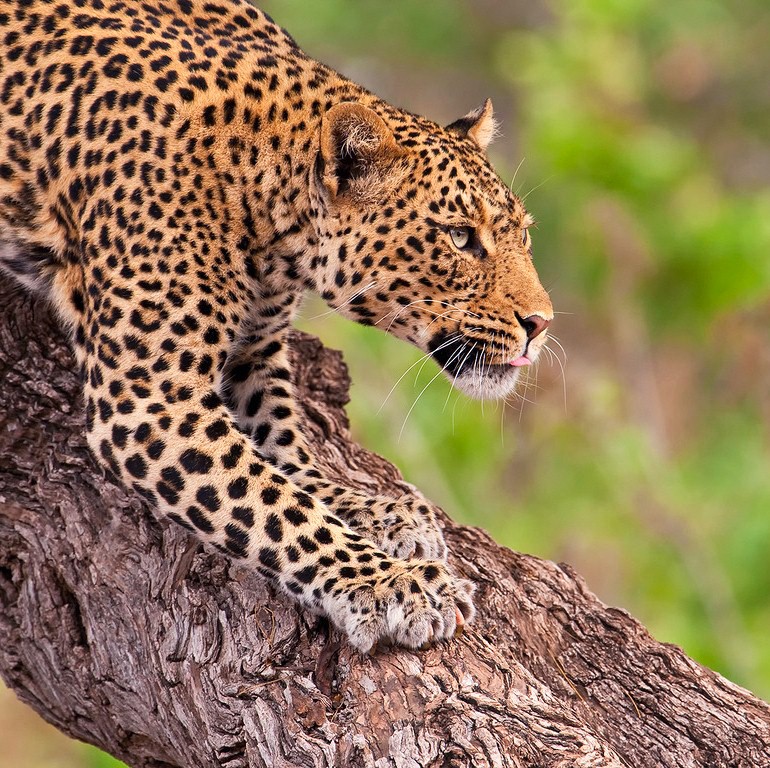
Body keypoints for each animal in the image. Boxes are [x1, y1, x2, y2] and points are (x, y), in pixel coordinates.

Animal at [0, 0, 553, 653]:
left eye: (524, 235)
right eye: (461, 237)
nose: (541, 324)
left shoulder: (255, 355)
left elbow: (291, 460)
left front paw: (379, 512)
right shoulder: (150, 400)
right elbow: (276, 507)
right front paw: (395, 584)